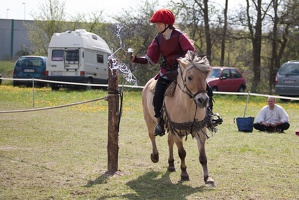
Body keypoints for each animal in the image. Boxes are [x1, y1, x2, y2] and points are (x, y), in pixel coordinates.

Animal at [142, 50, 214, 186]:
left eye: (205, 77)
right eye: (190, 77)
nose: (203, 100)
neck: (187, 106)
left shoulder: (199, 131)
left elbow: (203, 156)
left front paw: (207, 178)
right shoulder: (177, 133)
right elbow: (182, 153)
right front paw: (184, 173)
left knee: (169, 142)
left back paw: (171, 164)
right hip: (149, 119)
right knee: (152, 136)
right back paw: (155, 156)